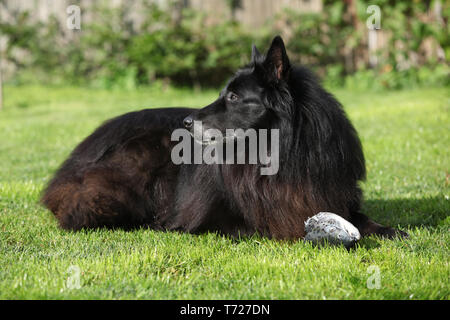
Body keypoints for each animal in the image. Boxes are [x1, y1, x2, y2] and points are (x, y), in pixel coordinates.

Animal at [41, 36, 408, 239]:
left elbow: (362, 218)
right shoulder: (217, 217)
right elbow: (259, 224)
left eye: (233, 97)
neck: (274, 152)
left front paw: (388, 230)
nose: (186, 122)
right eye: (222, 94)